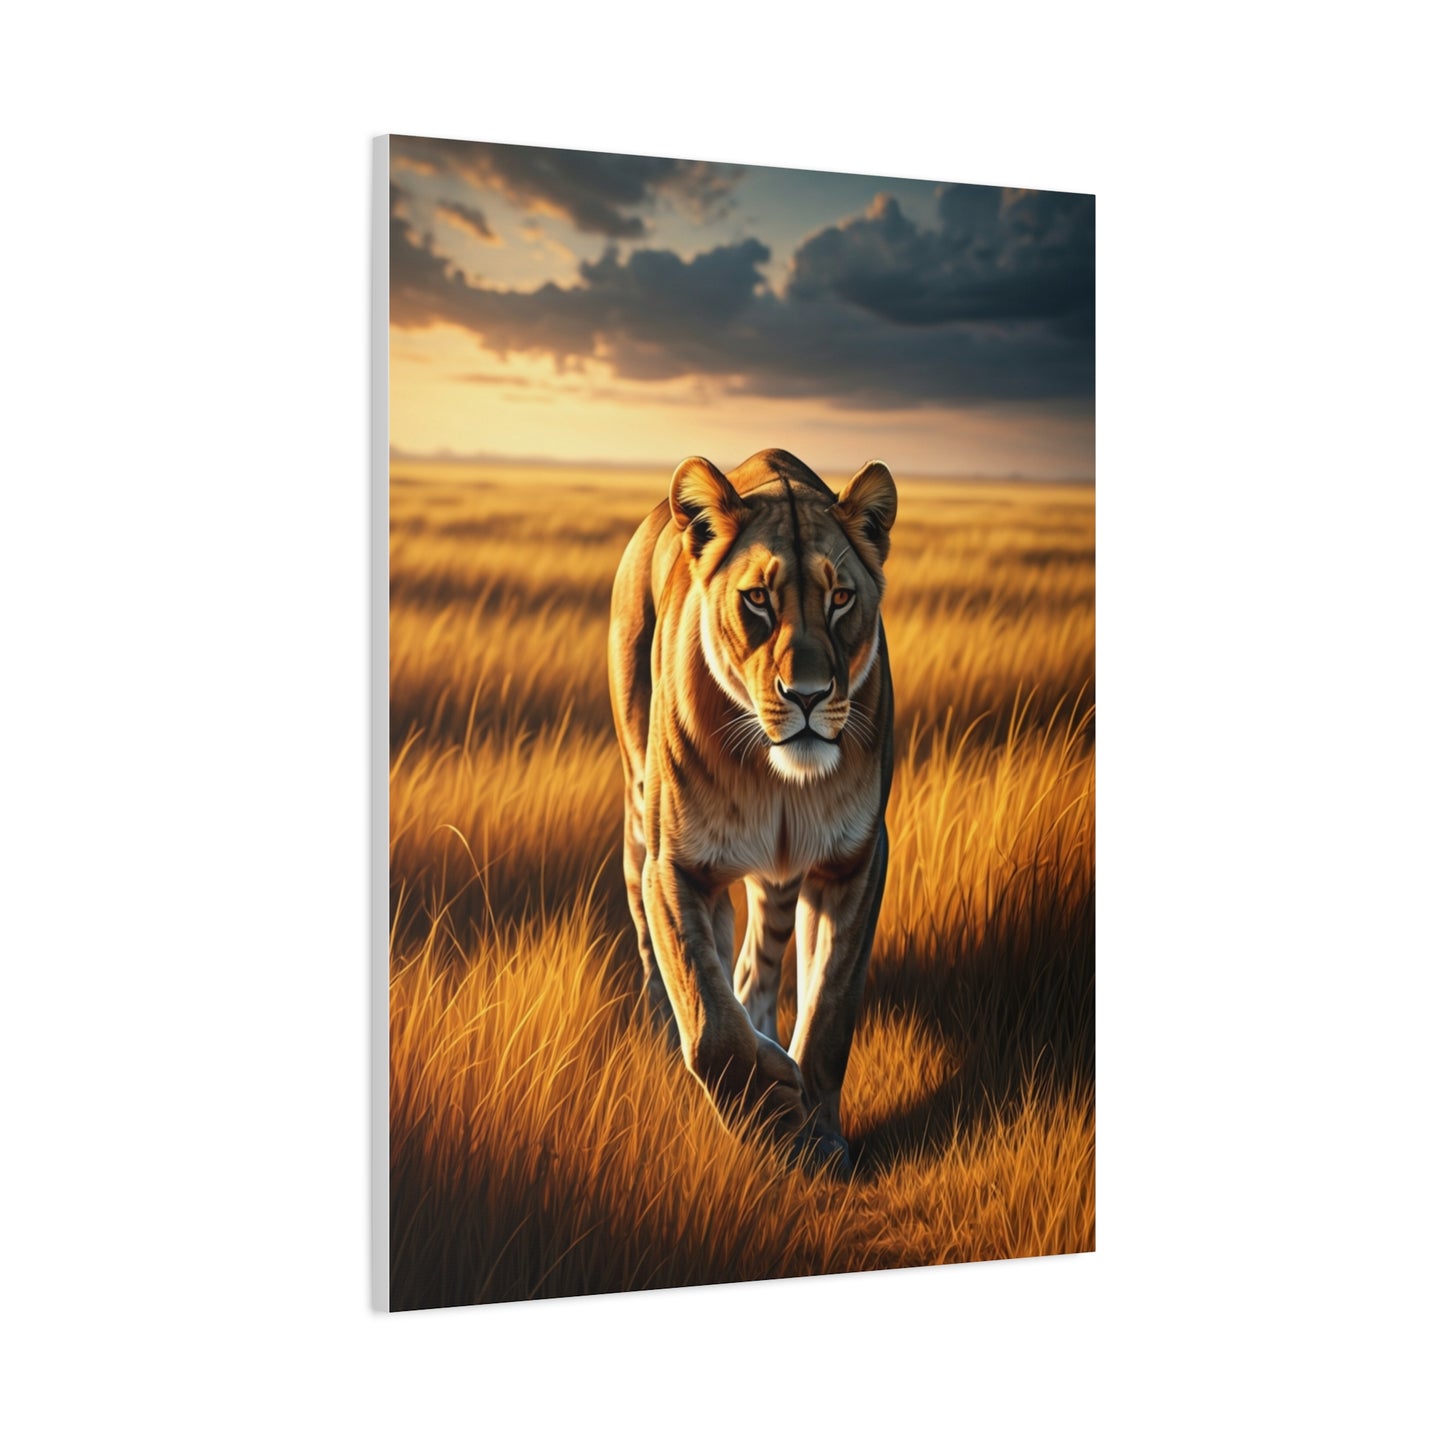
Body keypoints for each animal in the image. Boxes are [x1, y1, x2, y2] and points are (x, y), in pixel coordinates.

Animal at [607, 447, 896, 1172]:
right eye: (758, 599)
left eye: (841, 598)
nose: (808, 694)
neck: (778, 780)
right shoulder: (677, 867)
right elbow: (710, 1022)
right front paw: (768, 1119)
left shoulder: (853, 863)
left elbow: (829, 1010)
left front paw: (818, 1133)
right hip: (638, 809)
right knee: (658, 955)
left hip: (781, 871)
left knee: (757, 958)